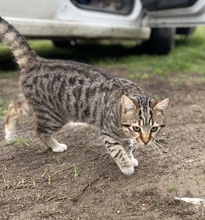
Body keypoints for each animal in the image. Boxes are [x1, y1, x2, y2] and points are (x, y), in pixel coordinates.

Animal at [0, 17, 169, 175]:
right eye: (136, 128)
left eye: (154, 128)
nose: (146, 141)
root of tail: (37, 61)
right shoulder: (107, 133)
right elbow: (118, 150)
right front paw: (126, 165)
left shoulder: (126, 137)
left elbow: (128, 146)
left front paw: (131, 157)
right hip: (54, 115)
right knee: (40, 131)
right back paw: (56, 146)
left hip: (39, 107)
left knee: (14, 106)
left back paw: (10, 134)